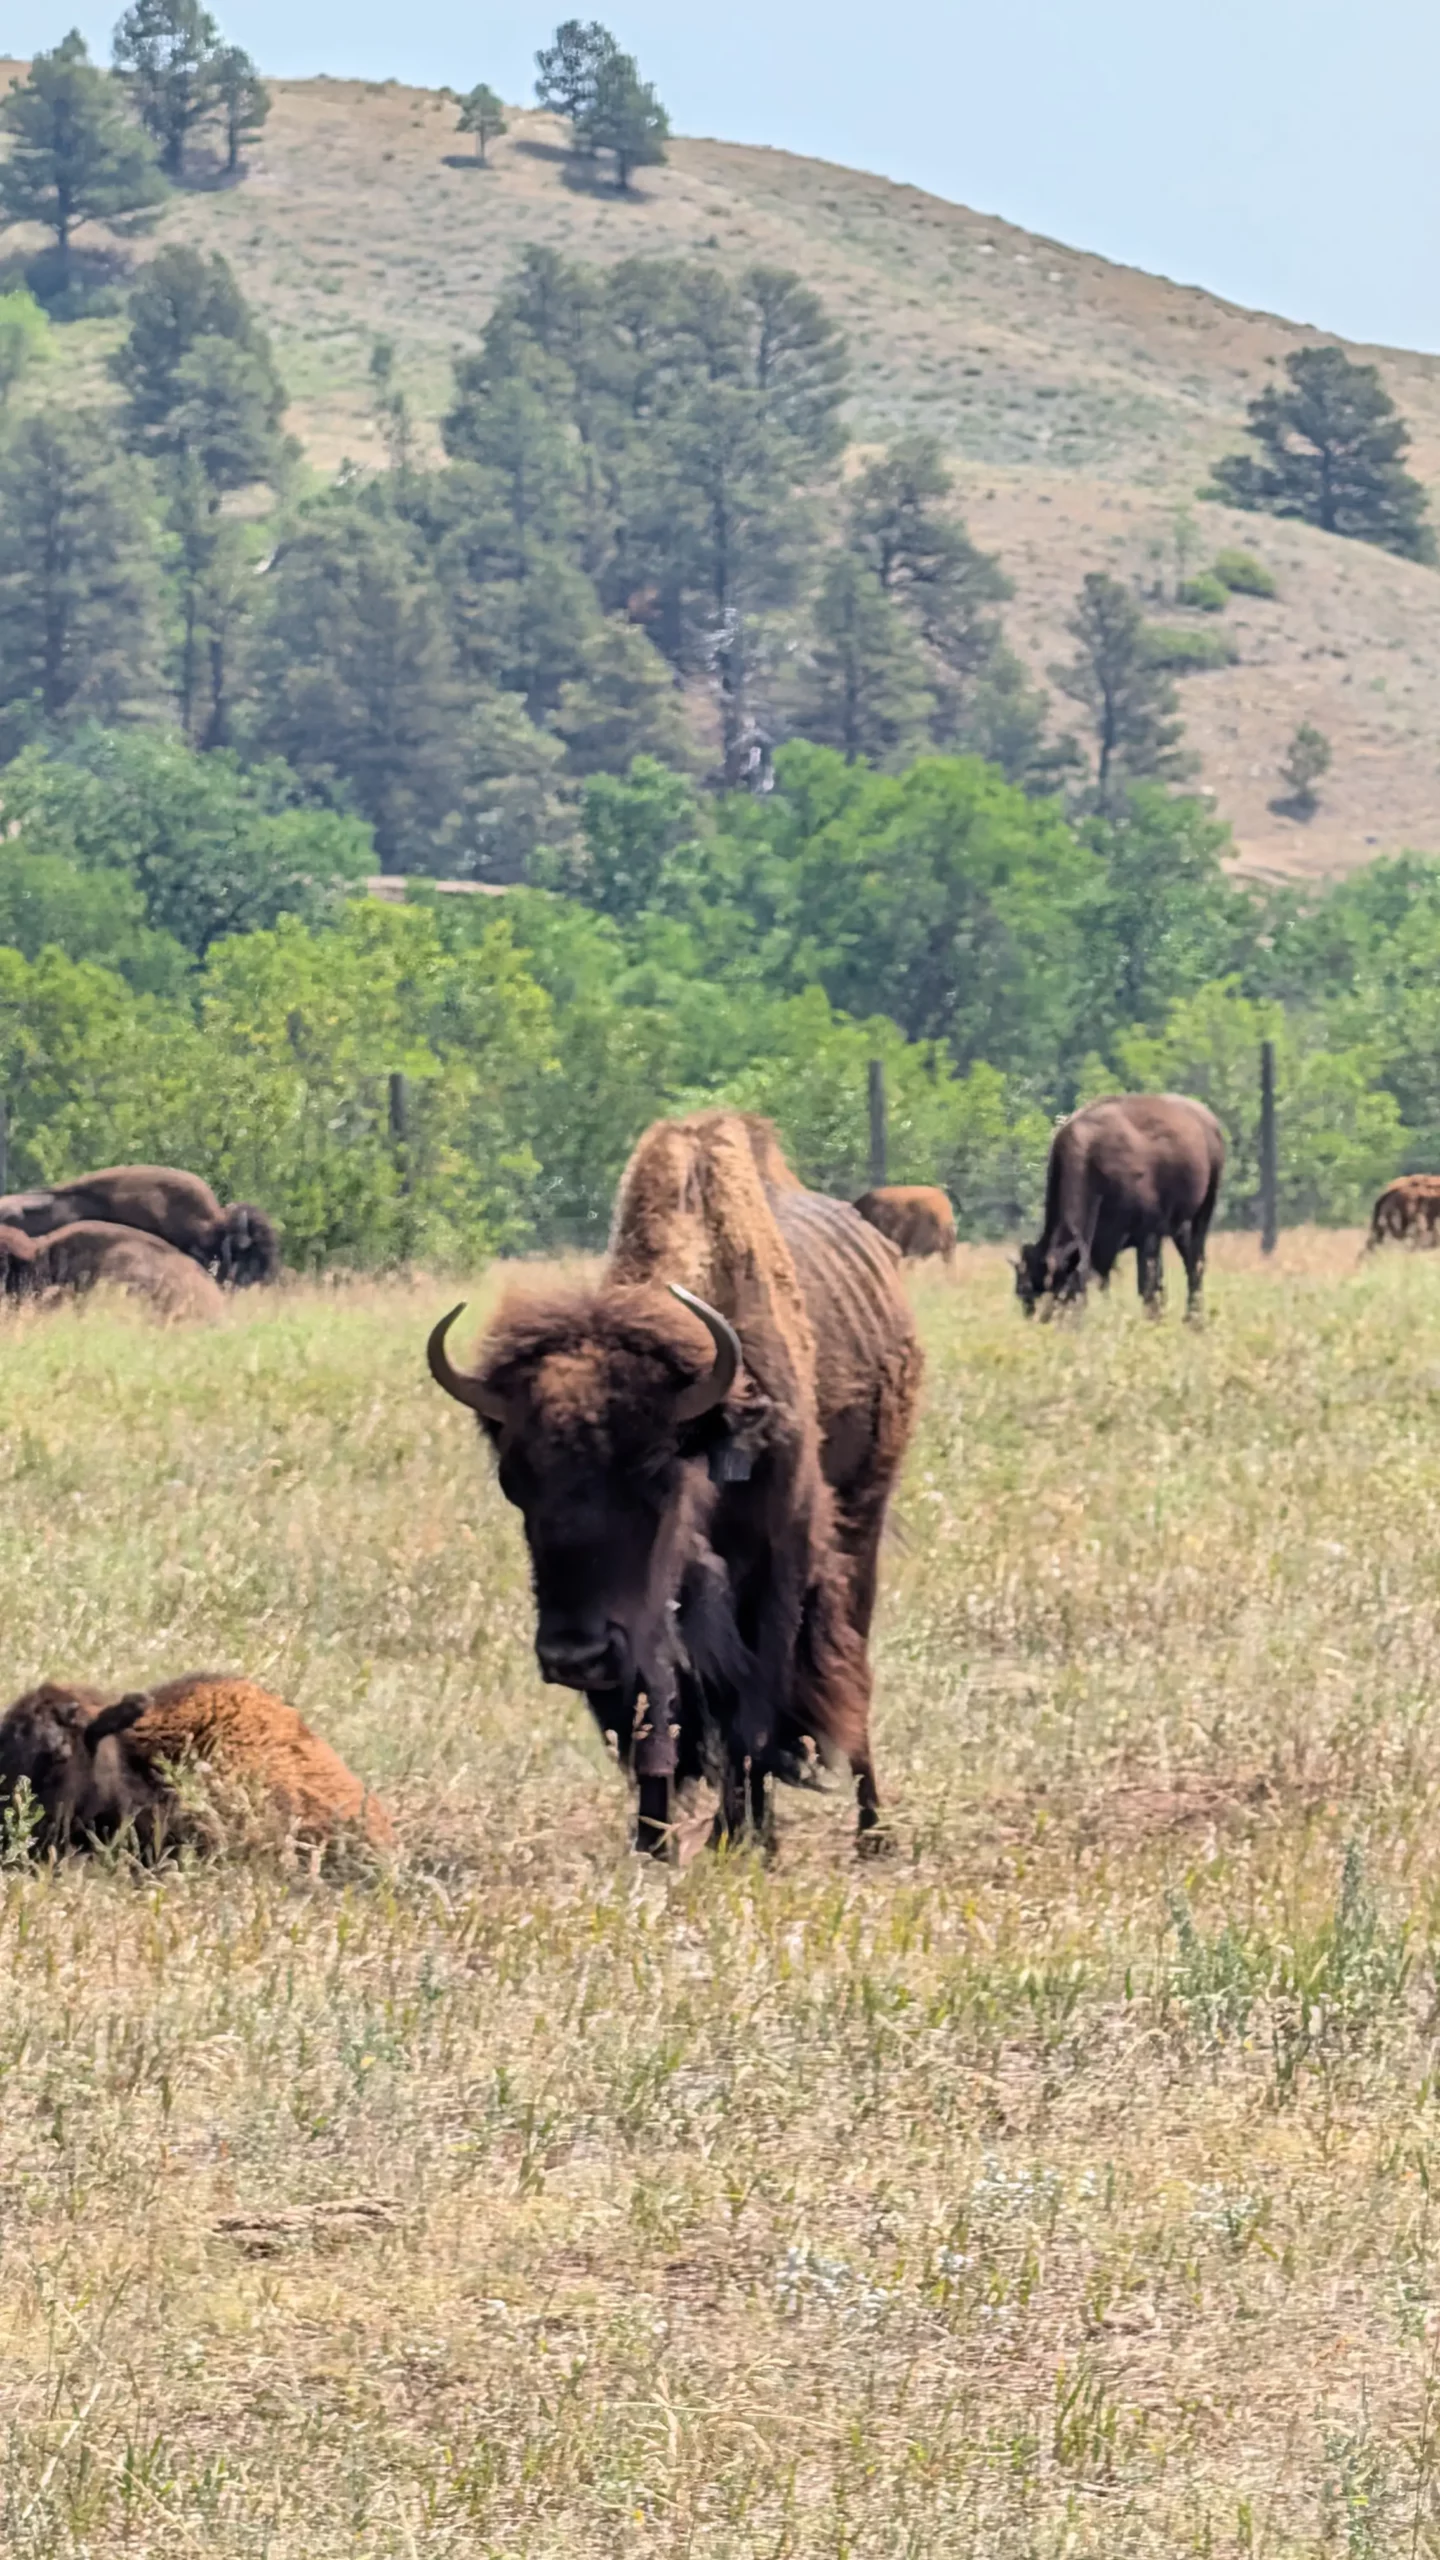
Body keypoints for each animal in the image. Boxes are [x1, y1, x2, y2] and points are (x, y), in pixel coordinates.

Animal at [428, 1111, 923, 1856]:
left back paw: (872, 1828)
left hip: (861, 1529)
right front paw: (653, 1837)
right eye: (516, 1482)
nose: (575, 1657)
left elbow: (754, 1700)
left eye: (654, 1473)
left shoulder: (774, 1563)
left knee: (851, 1661)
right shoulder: (652, 1610)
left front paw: (741, 1836)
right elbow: (657, 1701)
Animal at [1016, 1093, 1225, 1321]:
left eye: (1065, 1289)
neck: (1092, 1160)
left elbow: (1147, 1287)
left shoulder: (1148, 1235)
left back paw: (1194, 1320)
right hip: (1179, 1227)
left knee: (1195, 1264)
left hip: (1203, 1211)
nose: (1048, 1320)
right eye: (1025, 1294)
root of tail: (1208, 1119)